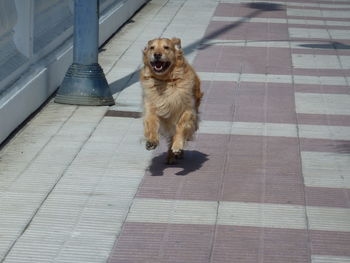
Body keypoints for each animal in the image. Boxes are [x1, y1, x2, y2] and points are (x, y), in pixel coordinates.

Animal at [141, 37, 202, 165]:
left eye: (166, 47)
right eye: (152, 47)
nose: (157, 55)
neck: (165, 81)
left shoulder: (188, 110)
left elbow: (181, 126)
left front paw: (177, 145)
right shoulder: (150, 106)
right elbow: (151, 122)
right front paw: (151, 141)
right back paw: (170, 156)